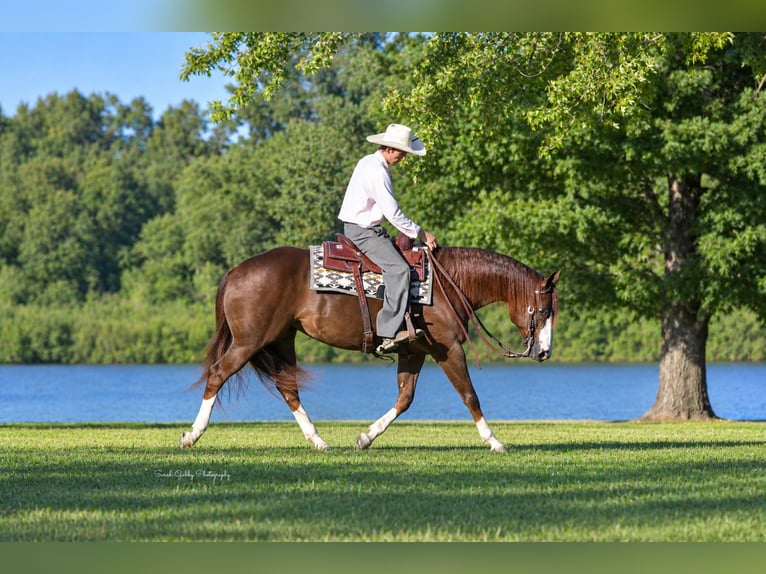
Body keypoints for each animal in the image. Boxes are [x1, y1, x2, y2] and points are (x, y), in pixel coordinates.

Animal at [181, 245, 560, 452]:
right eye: (543, 311)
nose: (544, 353)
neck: (448, 283)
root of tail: (235, 271)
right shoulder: (448, 350)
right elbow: (470, 395)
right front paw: (494, 441)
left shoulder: (414, 351)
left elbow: (404, 399)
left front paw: (366, 437)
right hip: (250, 341)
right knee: (218, 374)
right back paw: (192, 435)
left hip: (281, 339)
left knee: (288, 388)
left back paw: (318, 440)